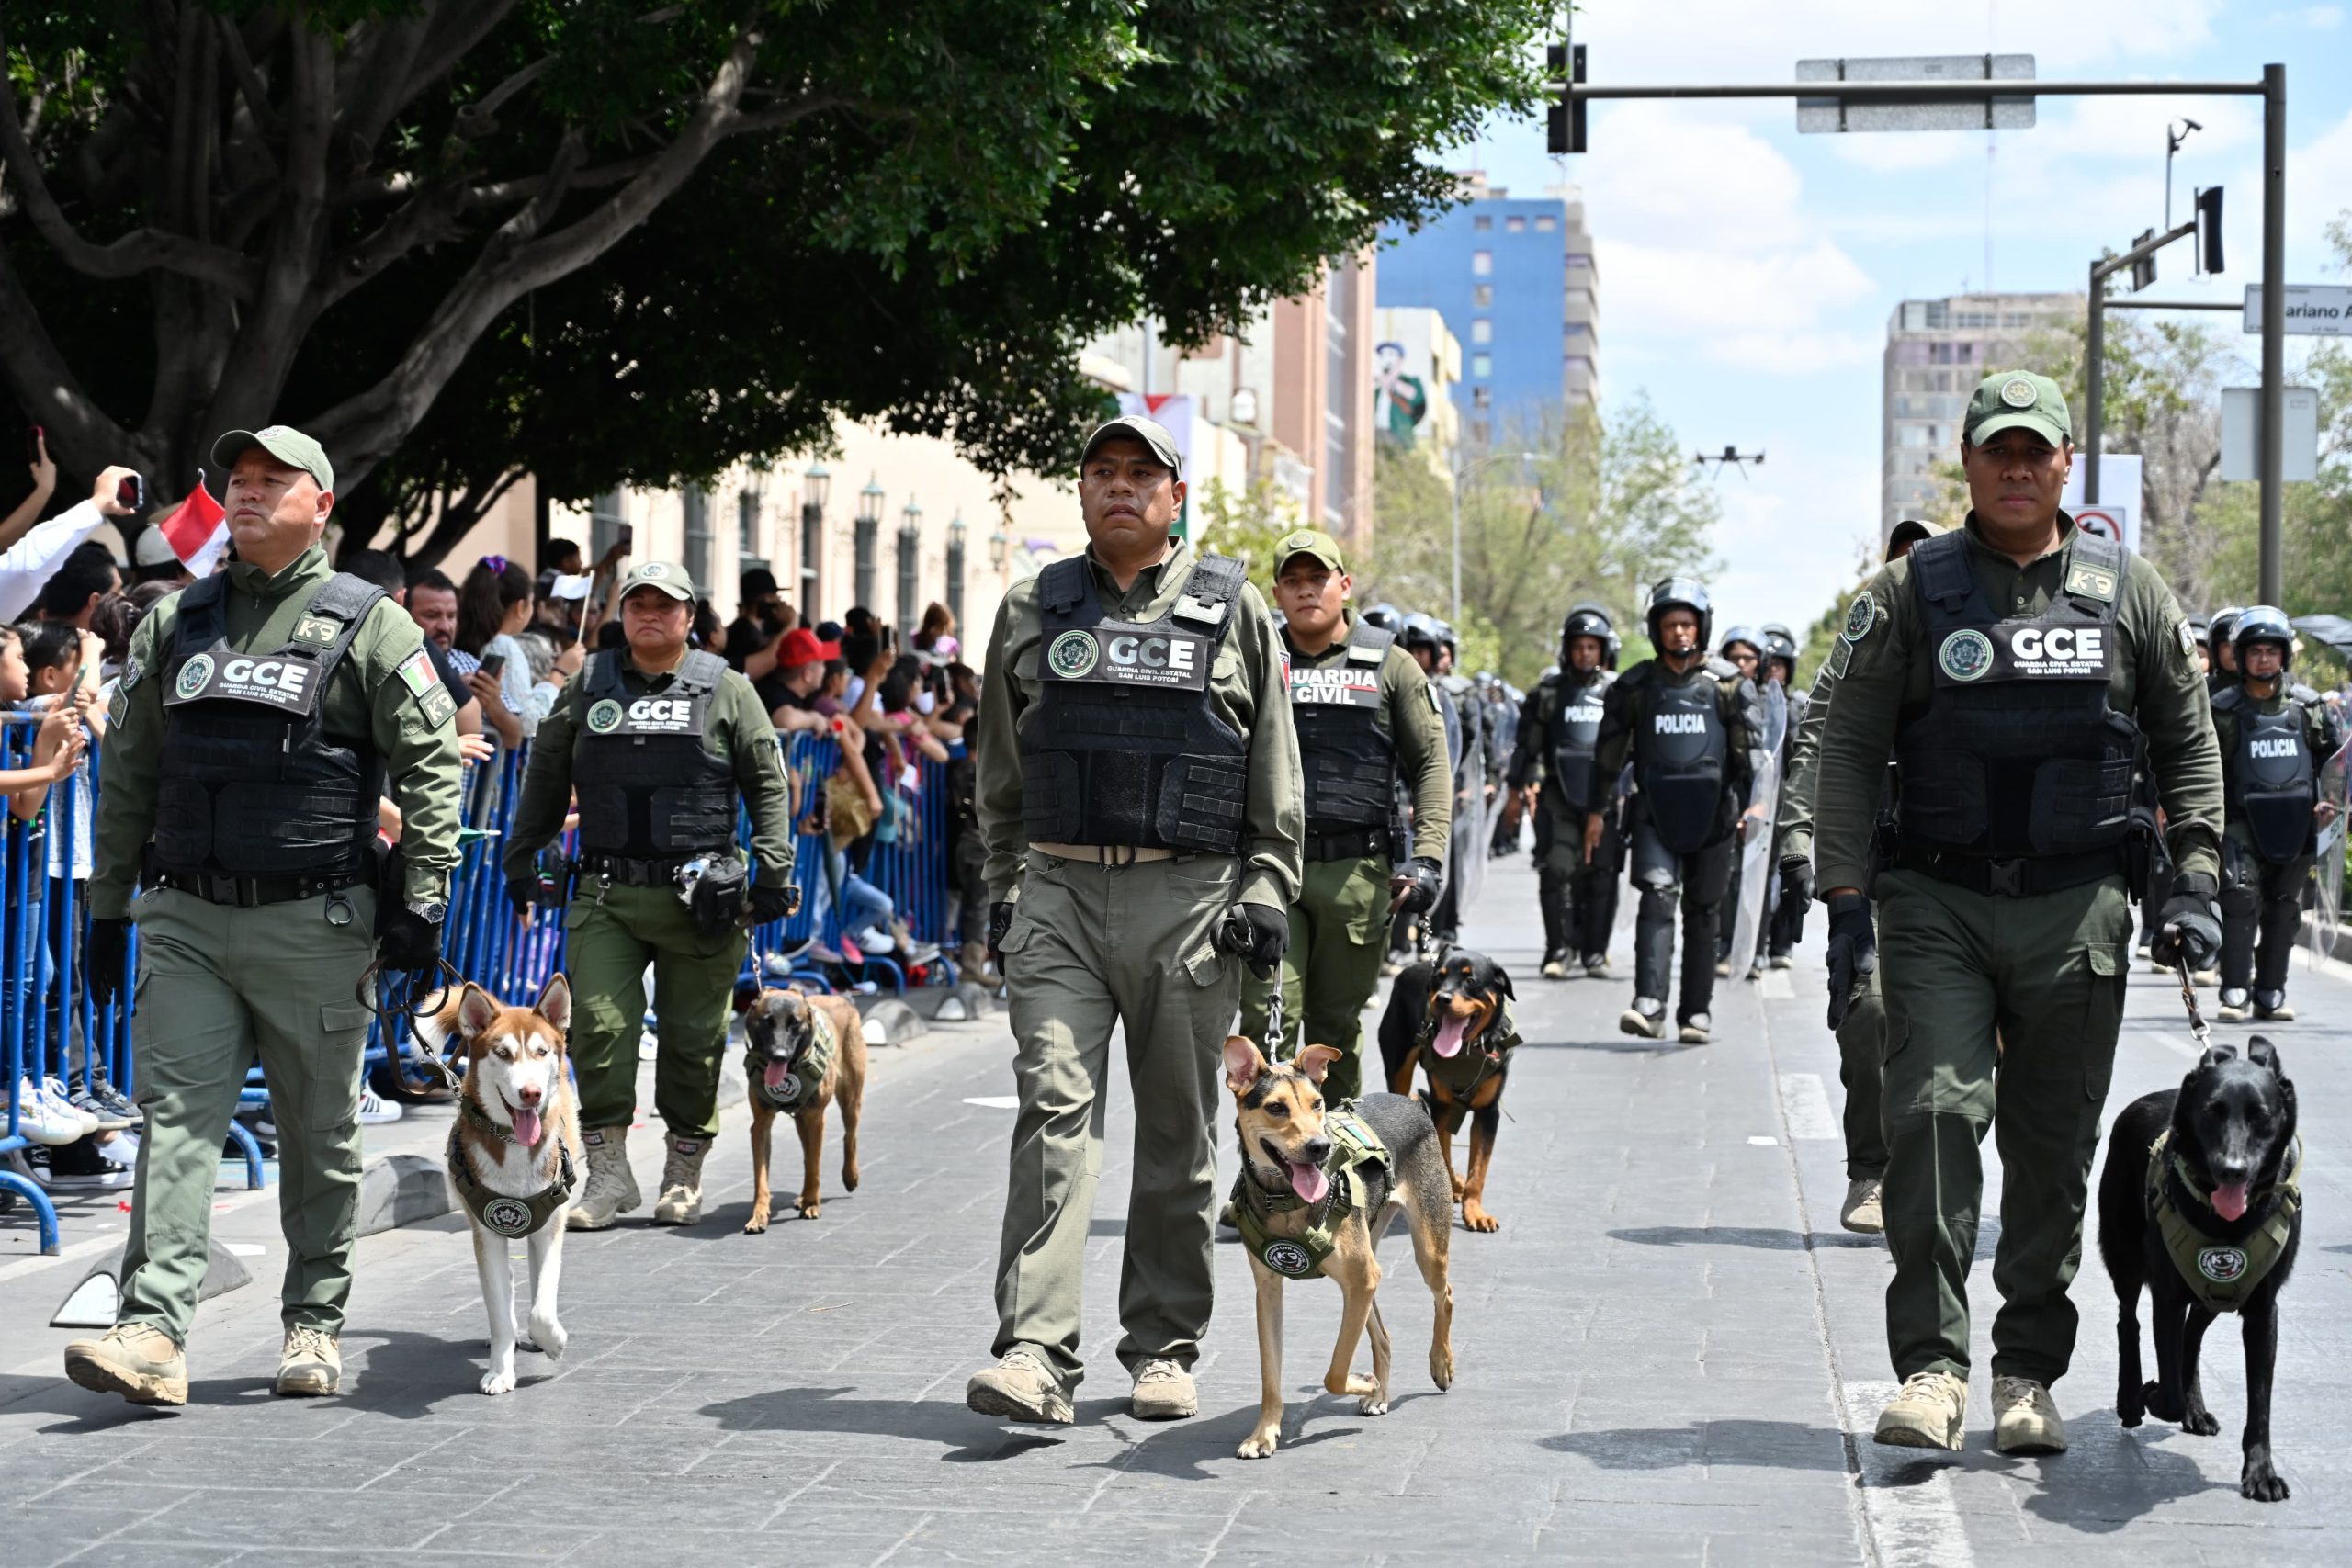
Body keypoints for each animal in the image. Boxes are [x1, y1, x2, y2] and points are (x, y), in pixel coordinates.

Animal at [738, 987, 870, 1232]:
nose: (779, 1055)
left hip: (850, 1098)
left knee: (849, 1137)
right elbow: (761, 1178)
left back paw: (850, 1177)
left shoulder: (816, 1119)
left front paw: (812, 1204)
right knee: (808, 1154)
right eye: (767, 1021)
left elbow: (814, 1166)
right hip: (802, 1119)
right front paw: (759, 1215)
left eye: (795, 1023)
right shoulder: (761, 1126)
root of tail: (841, 998)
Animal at [1232, 1034, 1448, 1466]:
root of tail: (1412, 1102)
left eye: (1317, 1103)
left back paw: (1440, 1365)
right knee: (1383, 1334)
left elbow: (1334, 1373)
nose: (1320, 1146)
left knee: (1444, 1295)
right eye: (1276, 1107)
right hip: (1367, 1271)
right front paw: (1263, 1435)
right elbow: (1270, 1375)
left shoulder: (1360, 1279)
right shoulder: (1269, 1291)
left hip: (1421, 1253)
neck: (1286, 1199)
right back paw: (1381, 1393)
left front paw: (1363, 1381)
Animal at [1374, 949, 1523, 1232]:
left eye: (1471, 981)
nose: (1442, 998)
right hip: (1398, 1067)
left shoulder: (1488, 1112)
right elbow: (1442, 1152)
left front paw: (1475, 1212)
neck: (1466, 1051)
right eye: (1438, 979)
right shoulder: (1441, 1105)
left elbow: (1479, 1169)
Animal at [2098, 1034, 2295, 1504]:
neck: (2228, 1222)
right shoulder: (2167, 1298)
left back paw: (2194, 1408)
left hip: (2217, 1294)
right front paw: (2154, 1395)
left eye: (2262, 1115)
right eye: (2212, 1111)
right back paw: (2132, 1397)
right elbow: (2167, 1386)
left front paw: (2261, 1473)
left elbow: (2260, 1403)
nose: (2232, 1170)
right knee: (2128, 1323)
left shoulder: (2263, 1312)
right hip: (2125, 1258)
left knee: (2194, 1334)